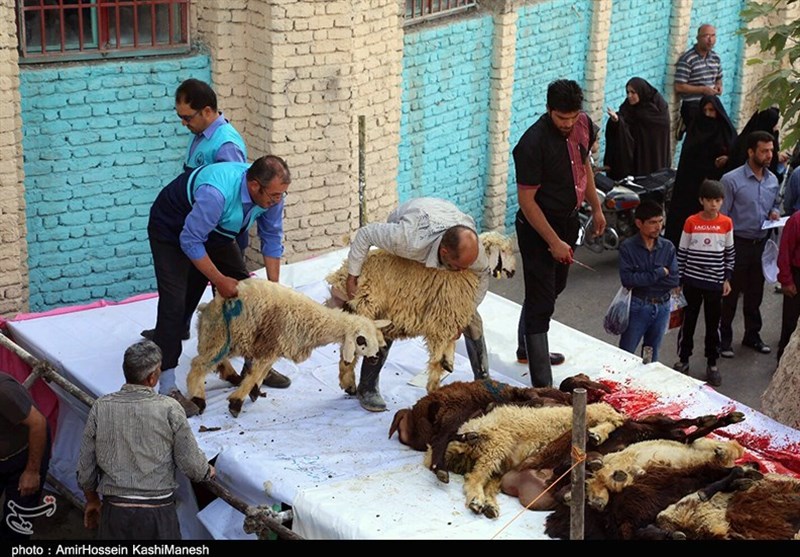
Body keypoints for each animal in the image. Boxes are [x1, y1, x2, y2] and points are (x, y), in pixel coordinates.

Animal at [185, 276, 390, 414]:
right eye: (361, 340)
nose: (375, 358)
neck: (309, 319)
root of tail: (207, 306)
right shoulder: (269, 345)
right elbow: (256, 373)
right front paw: (236, 402)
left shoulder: (275, 349)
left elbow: (261, 372)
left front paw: (253, 390)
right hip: (220, 335)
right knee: (199, 364)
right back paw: (198, 398)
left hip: (226, 340)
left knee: (213, 360)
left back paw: (230, 375)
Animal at [428, 400, 628, 516]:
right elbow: (609, 416)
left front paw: (598, 434)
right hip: (497, 444)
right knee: (474, 477)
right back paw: (476, 498)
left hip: (499, 465)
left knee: (487, 483)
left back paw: (489, 505)